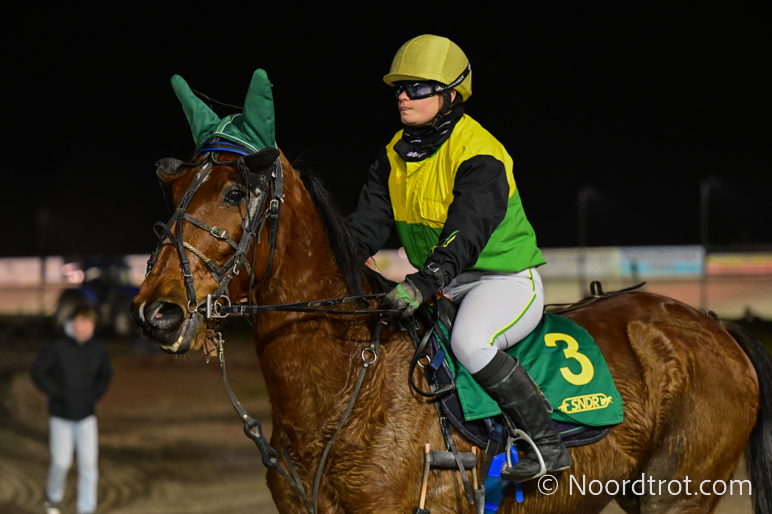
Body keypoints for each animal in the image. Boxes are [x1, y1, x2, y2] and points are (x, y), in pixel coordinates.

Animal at [131, 145, 772, 514]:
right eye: (172, 194)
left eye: (235, 192)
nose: (157, 313)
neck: (347, 385)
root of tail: (713, 327)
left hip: (677, 493)